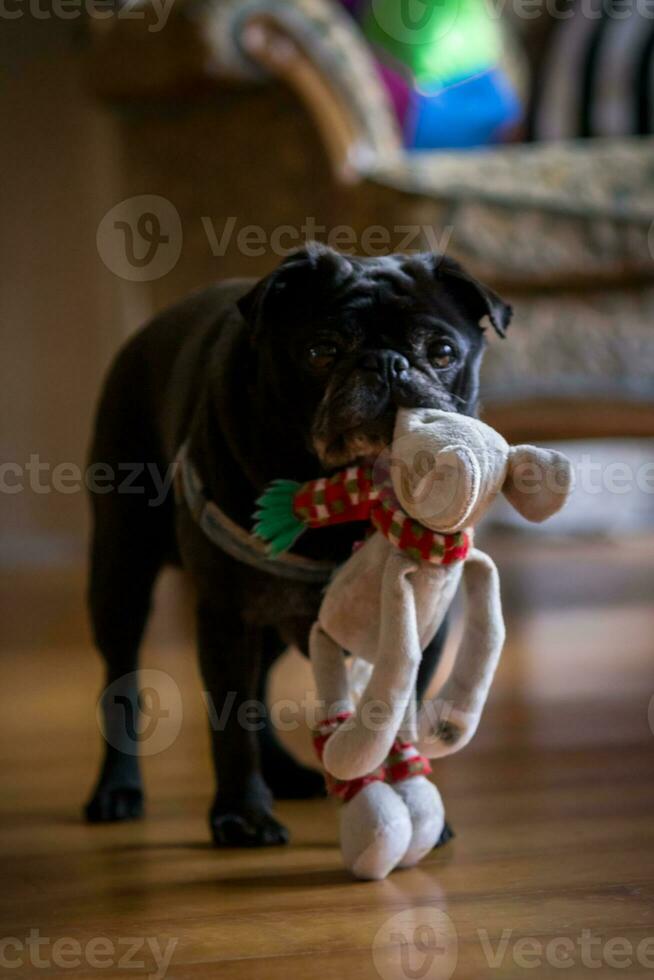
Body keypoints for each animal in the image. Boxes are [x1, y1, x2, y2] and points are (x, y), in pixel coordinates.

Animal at [84, 243, 512, 844]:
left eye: (443, 351)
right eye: (322, 352)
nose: (387, 362)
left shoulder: (425, 624)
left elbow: (395, 714)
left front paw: (411, 805)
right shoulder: (225, 614)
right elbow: (231, 722)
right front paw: (242, 815)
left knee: (260, 686)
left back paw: (286, 775)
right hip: (122, 573)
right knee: (123, 682)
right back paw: (117, 790)